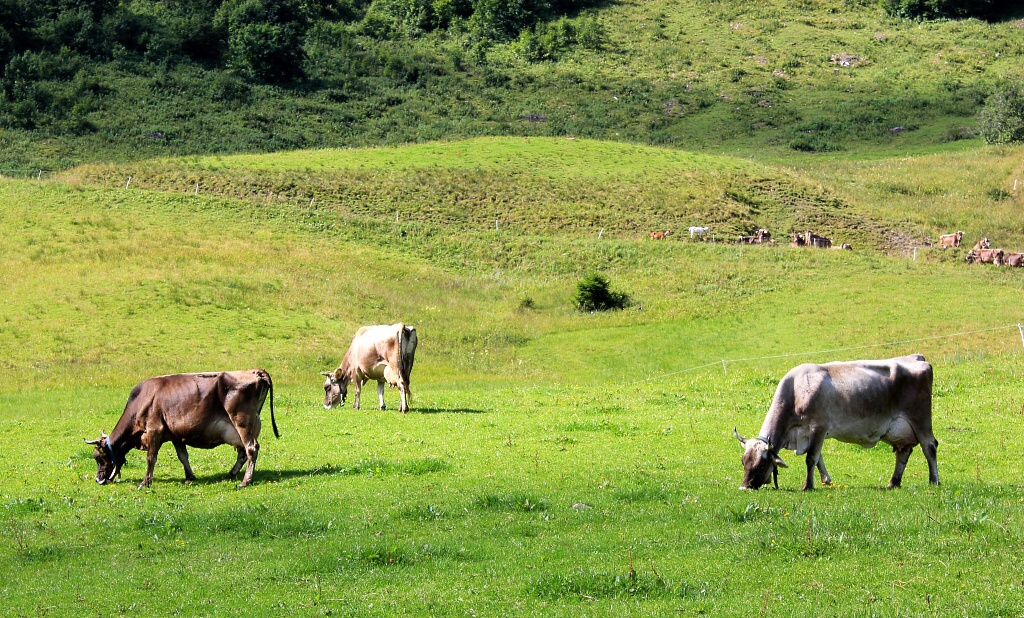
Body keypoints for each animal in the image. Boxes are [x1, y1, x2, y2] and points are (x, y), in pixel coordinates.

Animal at [84, 372, 278, 487]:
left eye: (98, 457)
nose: (98, 479)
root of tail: (256, 372)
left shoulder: (154, 430)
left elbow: (151, 458)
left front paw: (145, 482)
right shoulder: (175, 435)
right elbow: (183, 456)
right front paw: (189, 477)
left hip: (242, 422)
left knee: (251, 448)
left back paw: (245, 481)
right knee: (243, 452)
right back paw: (230, 475)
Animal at [733, 354, 937, 489]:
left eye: (761, 464)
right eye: (743, 461)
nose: (744, 487)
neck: (797, 389)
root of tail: (917, 358)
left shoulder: (819, 426)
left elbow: (811, 458)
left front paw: (808, 486)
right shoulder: (809, 433)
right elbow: (819, 458)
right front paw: (826, 480)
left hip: (920, 418)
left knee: (929, 446)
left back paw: (934, 480)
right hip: (899, 430)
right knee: (903, 452)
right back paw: (893, 483)